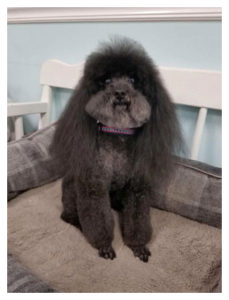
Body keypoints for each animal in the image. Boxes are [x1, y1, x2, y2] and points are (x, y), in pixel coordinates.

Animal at [50, 38, 182, 262]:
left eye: (133, 79)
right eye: (107, 80)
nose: (120, 93)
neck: (117, 133)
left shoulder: (137, 188)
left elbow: (137, 218)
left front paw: (138, 245)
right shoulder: (94, 185)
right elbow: (98, 219)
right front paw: (104, 246)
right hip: (71, 191)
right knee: (68, 215)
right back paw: (77, 222)